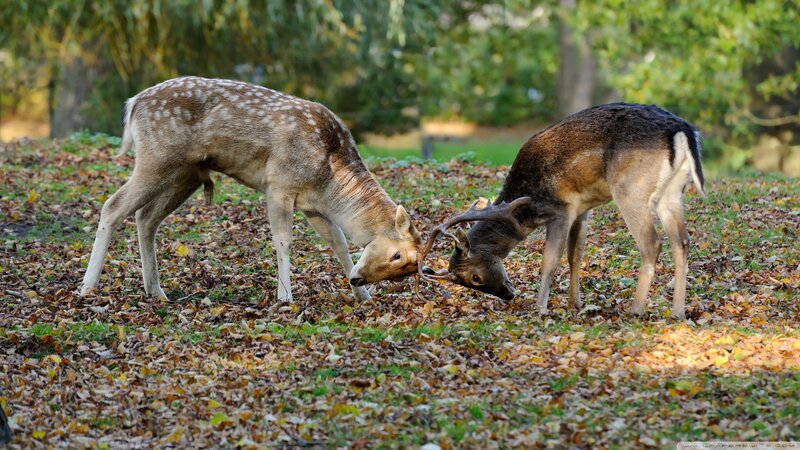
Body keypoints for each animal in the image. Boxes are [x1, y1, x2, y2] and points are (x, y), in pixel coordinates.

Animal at [80, 76, 422, 302]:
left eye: (407, 268)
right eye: (396, 255)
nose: (358, 278)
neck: (330, 177)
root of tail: (133, 103)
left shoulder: (314, 206)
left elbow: (337, 242)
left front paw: (362, 296)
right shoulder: (279, 184)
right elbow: (284, 240)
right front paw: (285, 297)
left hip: (185, 174)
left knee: (146, 217)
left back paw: (156, 291)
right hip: (156, 158)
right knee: (112, 205)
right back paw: (88, 287)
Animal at [418, 103, 705, 319]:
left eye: (474, 277)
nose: (509, 295)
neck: (526, 208)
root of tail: (683, 131)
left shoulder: (561, 209)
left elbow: (550, 260)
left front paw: (540, 307)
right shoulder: (582, 208)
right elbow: (575, 254)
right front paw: (574, 304)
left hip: (631, 189)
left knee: (652, 243)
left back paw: (635, 310)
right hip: (672, 193)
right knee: (682, 241)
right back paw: (677, 312)